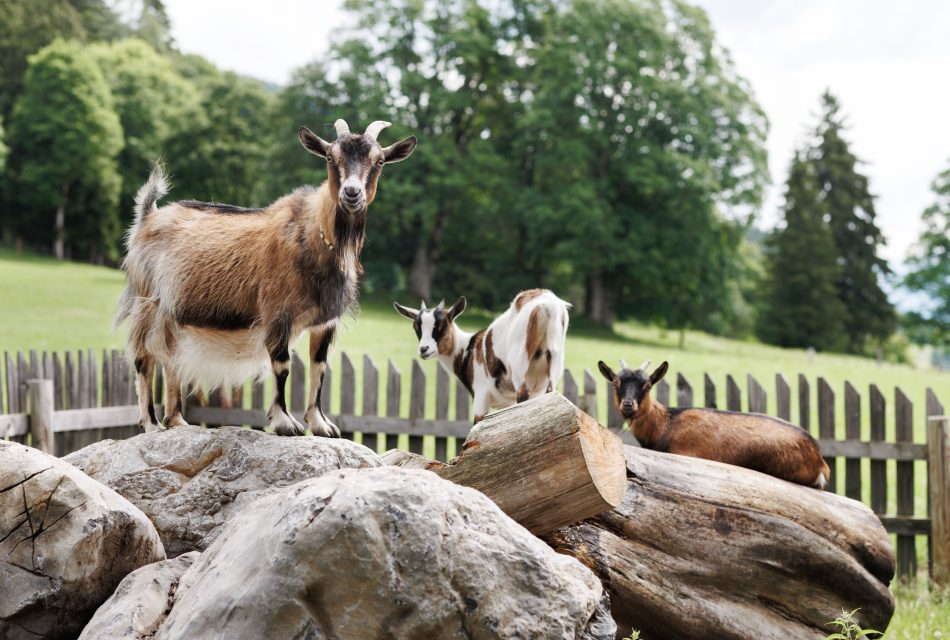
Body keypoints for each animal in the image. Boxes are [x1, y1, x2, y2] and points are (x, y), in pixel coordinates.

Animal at [116, 119, 416, 437]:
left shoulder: (325, 322)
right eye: (330, 157)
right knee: (144, 358)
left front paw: (321, 423)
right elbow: (282, 365)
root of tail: (148, 216)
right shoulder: (277, 312)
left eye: (379, 161)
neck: (313, 235)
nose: (351, 193)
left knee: (171, 358)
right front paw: (285, 421)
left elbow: (319, 367)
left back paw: (177, 421)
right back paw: (151, 424)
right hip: (148, 303)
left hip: (172, 314)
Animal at [393, 289, 571, 423]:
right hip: (555, 360)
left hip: (519, 363)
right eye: (417, 328)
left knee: (523, 394)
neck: (468, 349)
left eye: (441, 327)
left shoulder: (481, 395)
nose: (424, 349)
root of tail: (549, 305)